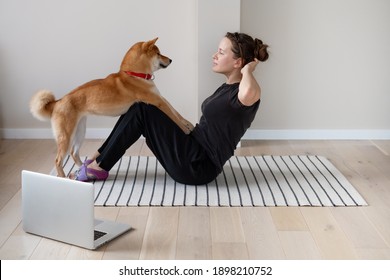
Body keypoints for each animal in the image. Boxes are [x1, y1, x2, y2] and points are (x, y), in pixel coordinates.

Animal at [30, 37, 192, 177]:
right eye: (158, 53)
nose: (170, 60)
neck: (134, 75)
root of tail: (59, 101)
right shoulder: (156, 101)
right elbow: (174, 117)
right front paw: (185, 131)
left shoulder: (160, 98)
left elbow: (177, 113)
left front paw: (189, 125)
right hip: (66, 135)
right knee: (58, 160)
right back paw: (64, 177)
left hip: (80, 131)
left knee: (74, 153)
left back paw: (83, 169)